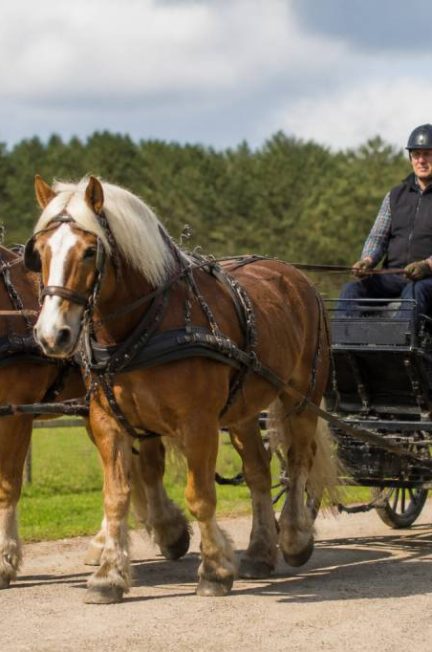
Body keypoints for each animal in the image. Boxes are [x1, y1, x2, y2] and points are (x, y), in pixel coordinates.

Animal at [27, 174, 339, 603]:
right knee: (258, 472)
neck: (144, 325)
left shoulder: (199, 423)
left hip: (302, 395)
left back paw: (293, 538)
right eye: (40, 250)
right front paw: (109, 576)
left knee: (297, 459)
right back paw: (260, 552)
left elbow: (200, 496)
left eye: (90, 251)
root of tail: (295, 276)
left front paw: (215, 571)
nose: (51, 335)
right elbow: (116, 496)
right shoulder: (107, 421)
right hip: (242, 409)